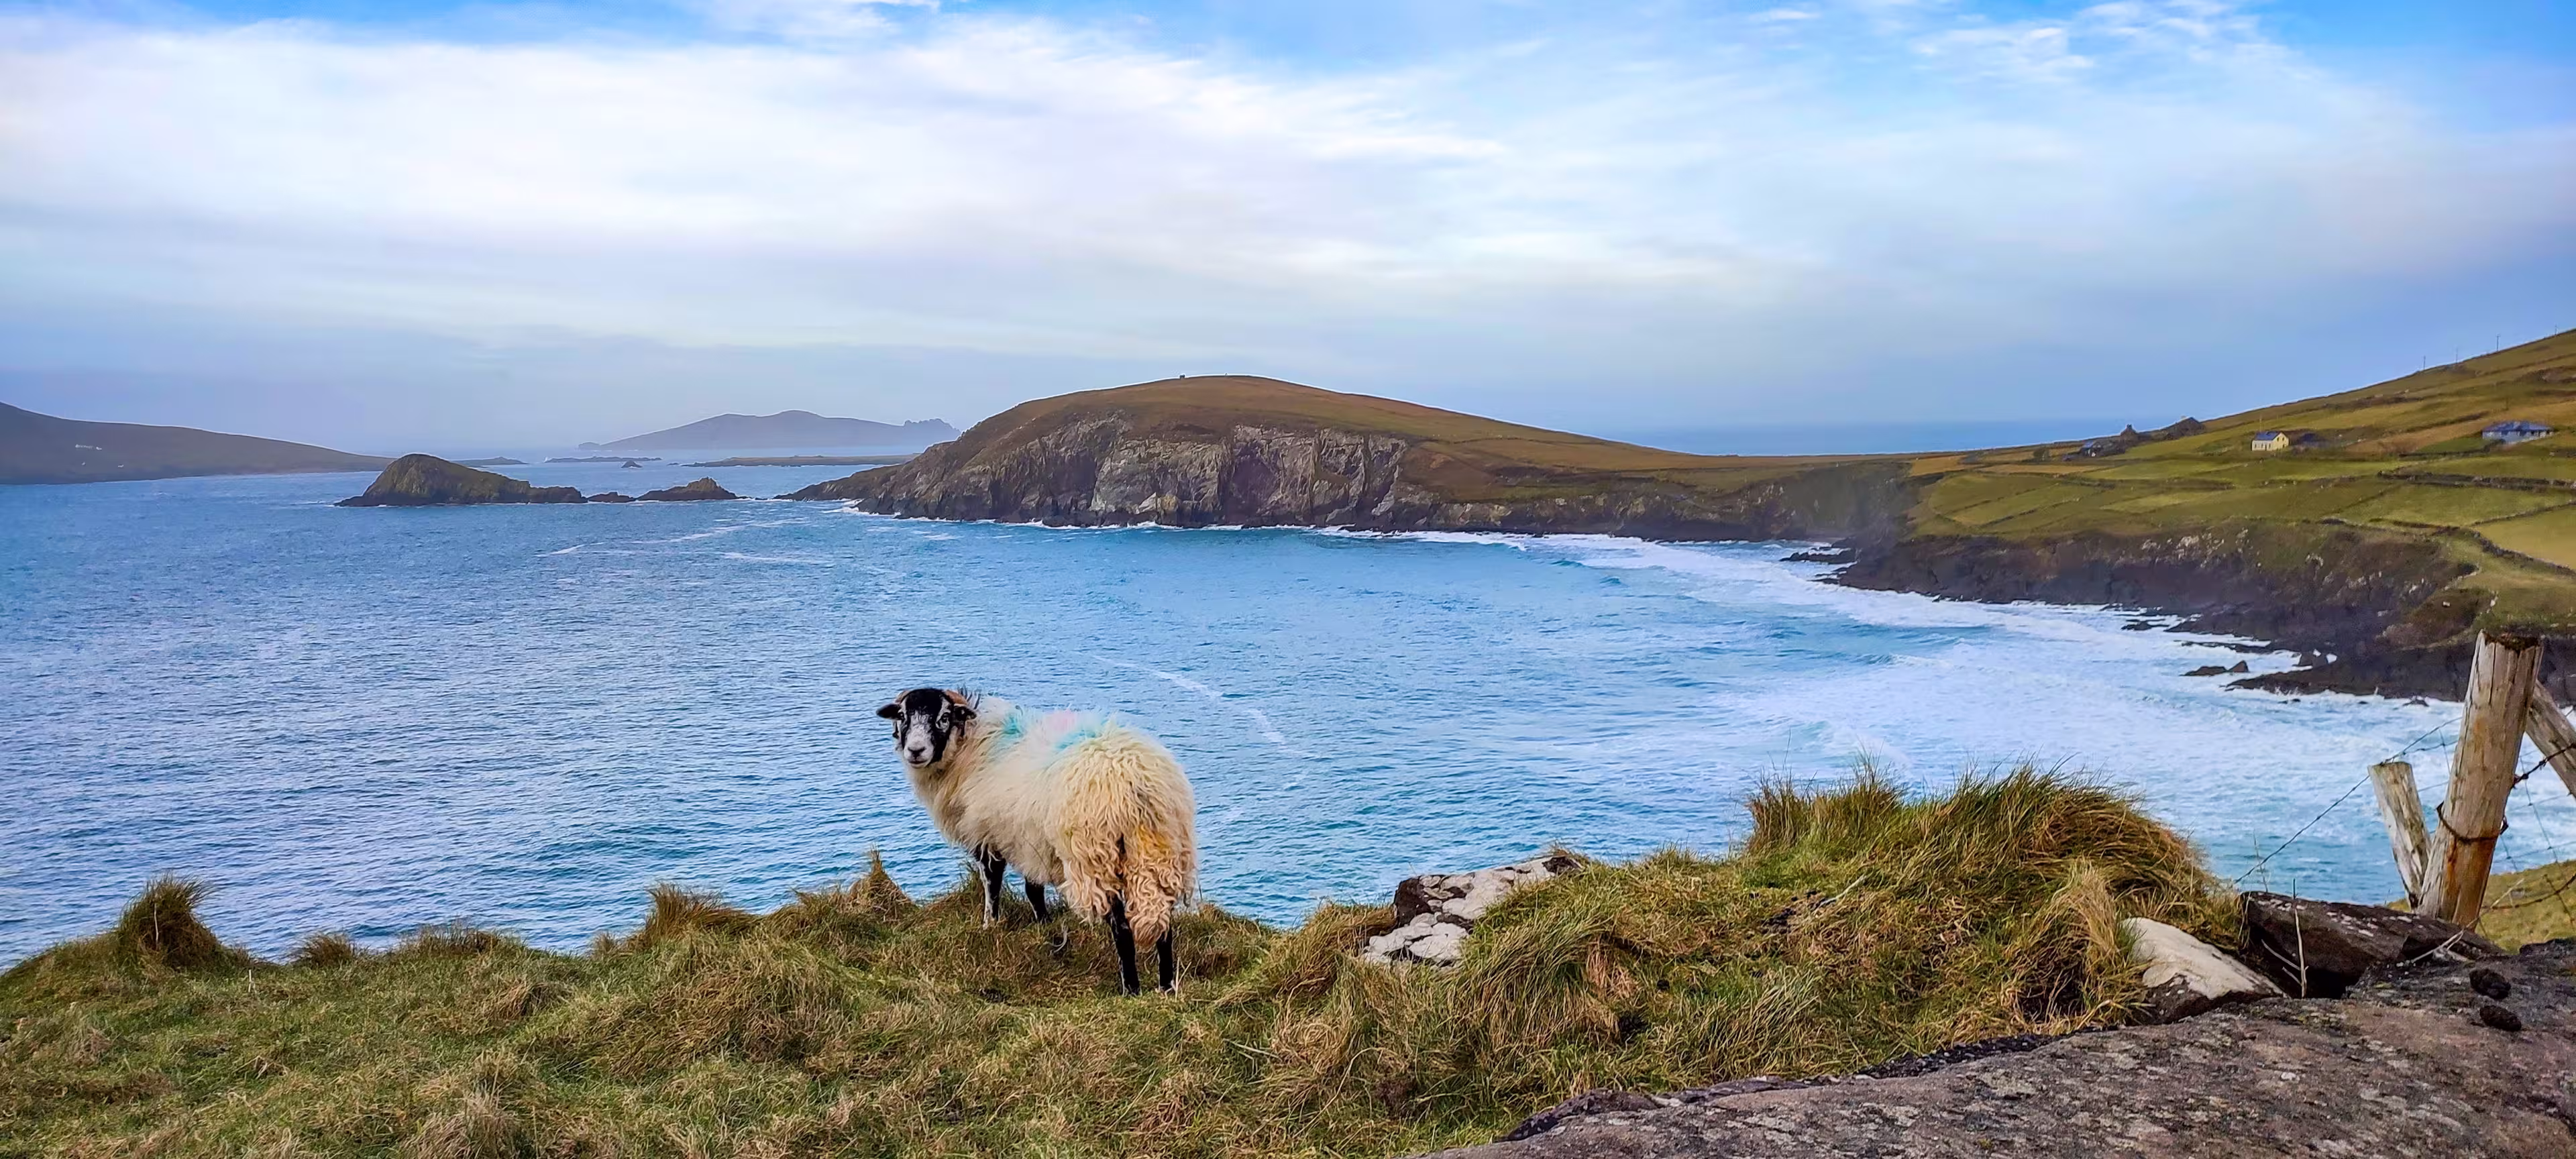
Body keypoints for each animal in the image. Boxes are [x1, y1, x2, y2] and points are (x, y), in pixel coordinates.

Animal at [877, 687, 1198, 995]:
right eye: (902, 716)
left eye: (944, 717)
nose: (915, 751)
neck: (972, 749)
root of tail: (1135, 782)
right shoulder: (1030, 841)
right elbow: (1034, 890)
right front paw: (1045, 926)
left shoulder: (989, 836)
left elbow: (992, 883)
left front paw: (990, 925)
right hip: (1161, 852)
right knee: (1163, 923)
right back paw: (1166, 985)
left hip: (1095, 857)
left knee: (1121, 926)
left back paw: (1130, 988)